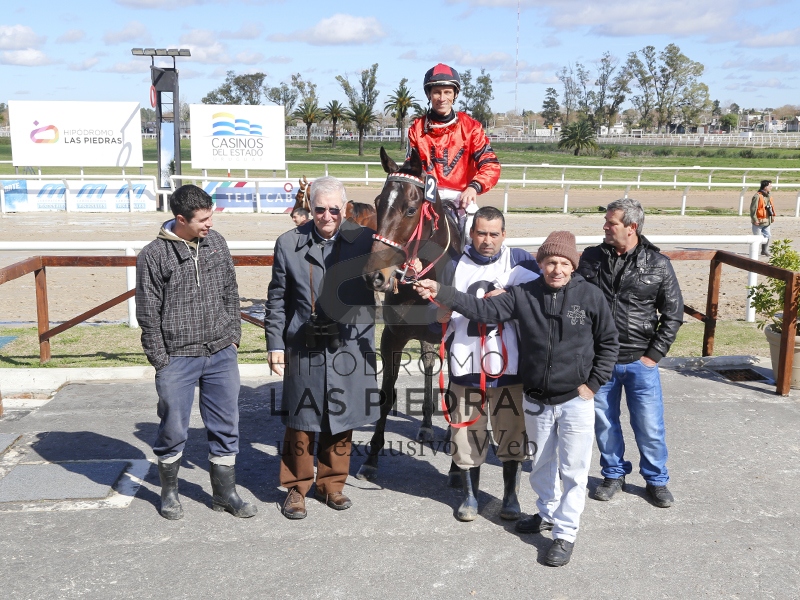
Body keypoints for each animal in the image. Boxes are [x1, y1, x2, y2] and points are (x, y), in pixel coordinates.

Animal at [357, 146, 462, 481]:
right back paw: (427, 425)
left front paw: (458, 468)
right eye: (378, 202)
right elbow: (386, 395)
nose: (374, 276)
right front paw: (372, 457)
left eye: (411, 209)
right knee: (428, 364)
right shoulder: (392, 337)